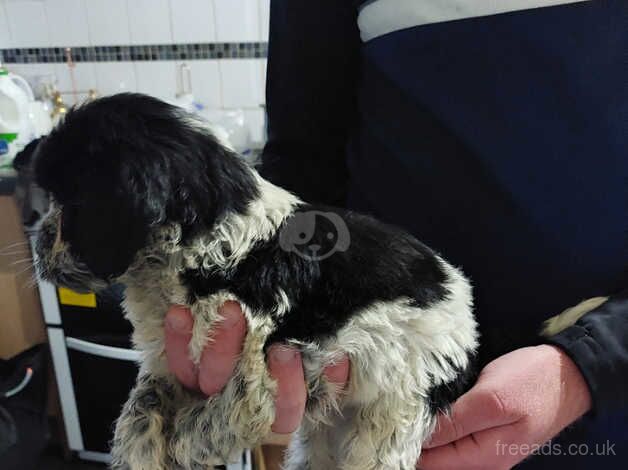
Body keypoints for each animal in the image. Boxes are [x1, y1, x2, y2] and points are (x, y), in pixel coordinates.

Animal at [31, 94, 478, 470]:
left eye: (69, 203)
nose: (36, 238)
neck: (209, 240)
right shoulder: (167, 357)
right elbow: (143, 400)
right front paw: (136, 451)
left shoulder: (262, 353)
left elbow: (237, 406)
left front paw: (184, 445)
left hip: (399, 403)